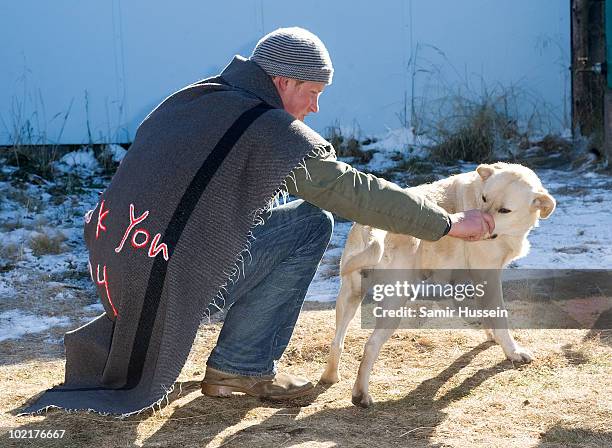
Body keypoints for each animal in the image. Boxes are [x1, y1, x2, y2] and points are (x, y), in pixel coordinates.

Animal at [320, 162, 556, 406]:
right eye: (483, 198)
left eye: (504, 211)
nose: (480, 225)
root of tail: (371, 230)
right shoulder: (488, 275)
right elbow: (499, 317)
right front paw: (512, 351)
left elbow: (486, 312)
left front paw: (490, 335)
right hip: (394, 303)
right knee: (370, 345)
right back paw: (361, 394)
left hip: (349, 297)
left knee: (337, 341)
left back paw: (330, 377)